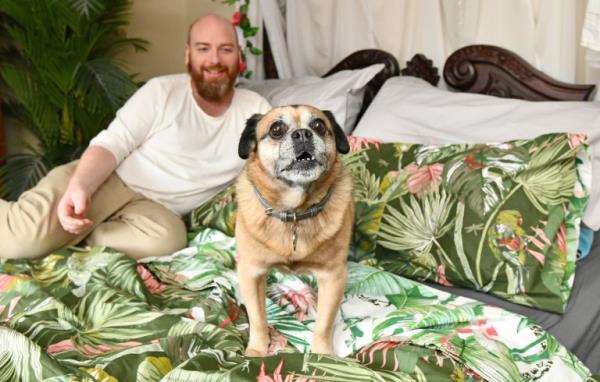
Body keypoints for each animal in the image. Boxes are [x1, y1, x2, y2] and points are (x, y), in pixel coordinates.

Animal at [234, 103, 354, 356]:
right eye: (276, 129)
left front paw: (322, 356)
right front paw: (257, 350)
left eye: (319, 125)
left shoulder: (333, 276)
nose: (303, 134)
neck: (295, 213)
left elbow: (324, 323)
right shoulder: (251, 273)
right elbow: (257, 318)